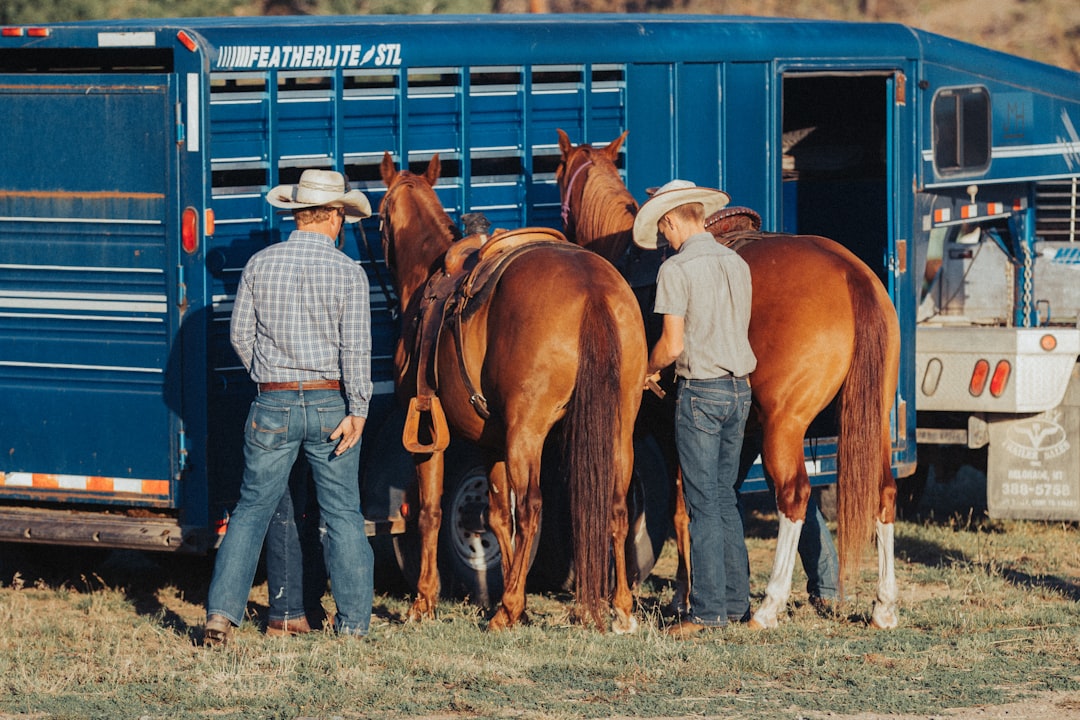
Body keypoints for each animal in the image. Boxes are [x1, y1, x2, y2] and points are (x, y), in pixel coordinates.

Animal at [380, 152, 648, 630]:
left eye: (378, 218)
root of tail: (593, 290)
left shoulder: (430, 437)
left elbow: (430, 512)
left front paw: (425, 602)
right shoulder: (495, 444)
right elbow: (496, 516)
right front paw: (510, 594)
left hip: (529, 432)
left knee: (532, 507)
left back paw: (504, 612)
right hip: (618, 428)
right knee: (615, 504)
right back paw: (618, 608)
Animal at [557, 131, 902, 630]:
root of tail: (852, 276)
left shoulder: (668, 429)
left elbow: (684, 511)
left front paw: (684, 596)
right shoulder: (739, 433)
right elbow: (721, 502)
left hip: (786, 427)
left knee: (794, 495)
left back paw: (770, 604)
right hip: (871, 420)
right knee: (884, 492)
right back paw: (883, 605)